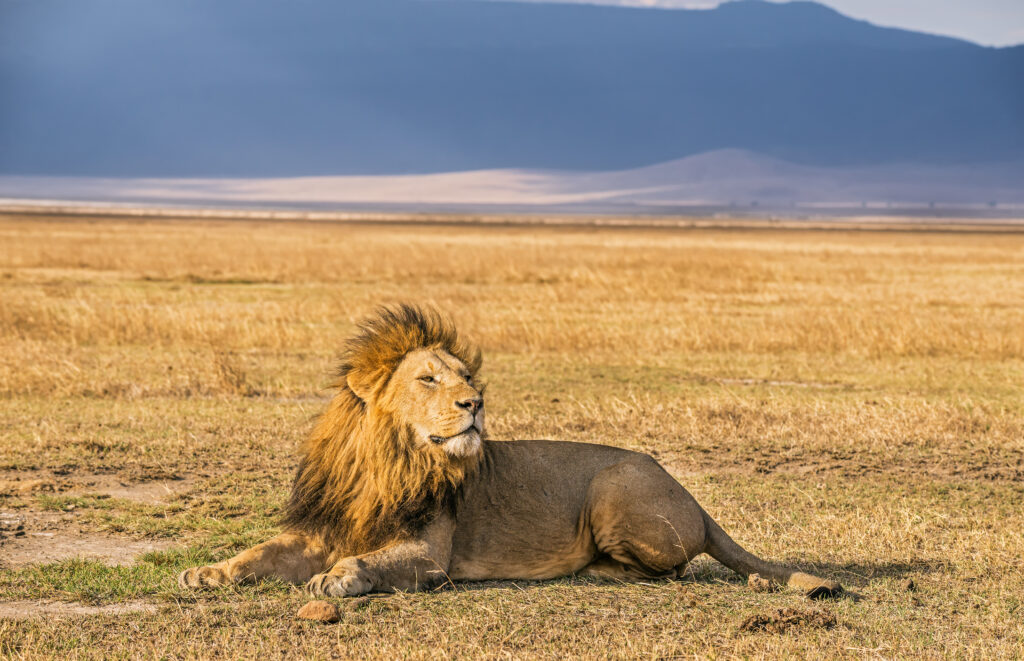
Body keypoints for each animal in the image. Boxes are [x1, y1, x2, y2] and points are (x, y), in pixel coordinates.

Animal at [179, 304, 841, 599]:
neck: (389, 462)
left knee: (673, 568)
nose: (474, 402)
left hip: (616, 485)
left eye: (466, 375)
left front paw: (337, 580)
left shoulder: (430, 555)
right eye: (428, 379)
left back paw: (596, 569)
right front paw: (207, 571)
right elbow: (258, 553)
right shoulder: (323, 528)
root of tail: (696, 499)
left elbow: (368, 562)